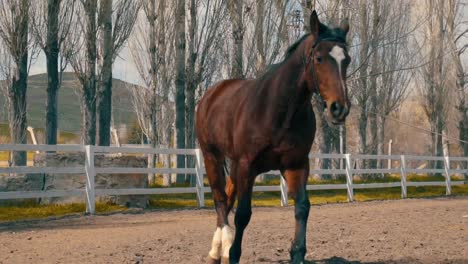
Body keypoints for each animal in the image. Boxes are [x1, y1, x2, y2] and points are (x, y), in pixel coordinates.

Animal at [195, 10, 352, 264]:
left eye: (346, 59)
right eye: (319, 58)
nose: (339, 108)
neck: (279, 110)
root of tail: (212, 94)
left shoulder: (296, 165)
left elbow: (302, 207)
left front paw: (297, 253)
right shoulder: (247, 165)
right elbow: (243, 214)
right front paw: (233, 253)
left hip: (234, 165)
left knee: (226, 199)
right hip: (212, 157)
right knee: (220, 201)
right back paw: (220, 249)